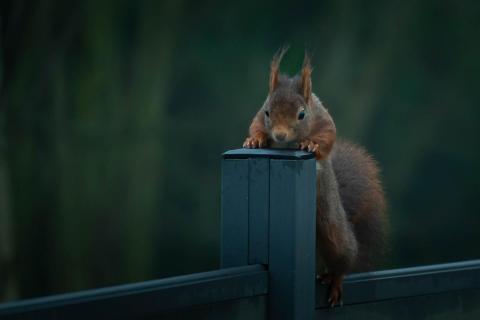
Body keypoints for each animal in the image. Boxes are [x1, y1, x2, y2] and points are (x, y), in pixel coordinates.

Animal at [244, 48, 386, 308]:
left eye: (302, 114)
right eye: (268, 112)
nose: (279, 135)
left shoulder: (323, 118)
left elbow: (328, 136)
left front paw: (311, 144)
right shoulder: (258, 116)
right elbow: (254, 126)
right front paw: (254, 140)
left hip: (333, 229)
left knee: (344, 258)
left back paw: (336, 281)